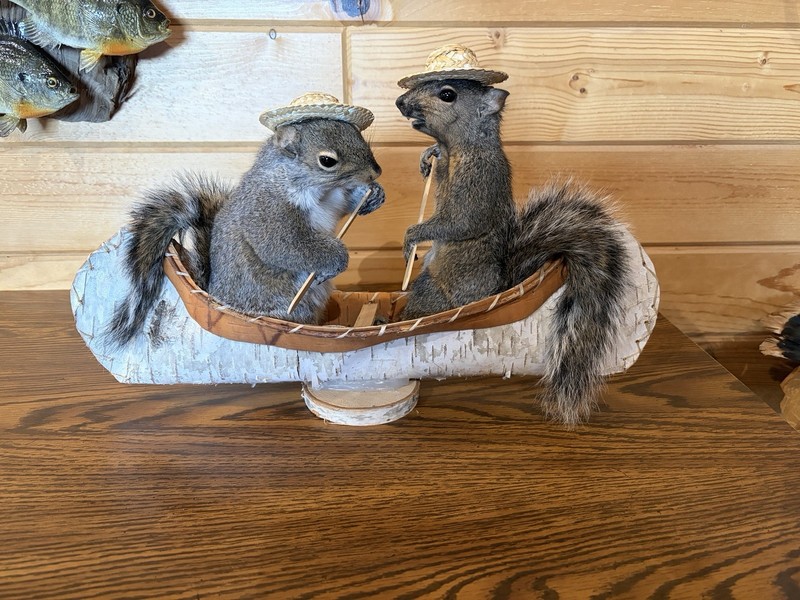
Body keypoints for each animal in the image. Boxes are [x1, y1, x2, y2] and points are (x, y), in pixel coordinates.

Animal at [106, 117, 385, 347]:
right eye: (327, 161)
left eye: (357, 133)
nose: (376, 172)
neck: (317, 188)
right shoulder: (268, 213)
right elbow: (286, 247)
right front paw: (337, 259)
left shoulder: (333, 198)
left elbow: (344, 206)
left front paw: (372, 196)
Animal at [396, 77, 632, 427]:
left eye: (448, 94)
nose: (400, 102)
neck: (459, 148)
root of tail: (497, 289)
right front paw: (428, 155)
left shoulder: (477, 183)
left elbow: (458, 222)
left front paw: (413, 236)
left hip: (433, 291)